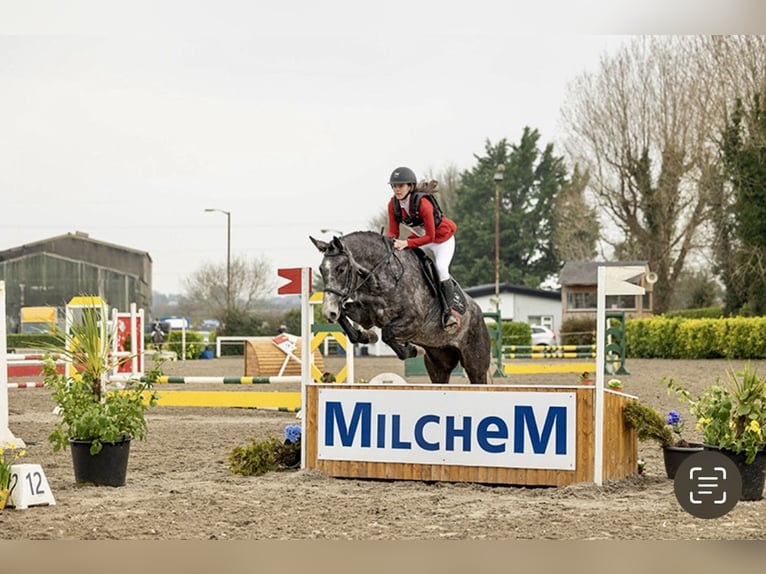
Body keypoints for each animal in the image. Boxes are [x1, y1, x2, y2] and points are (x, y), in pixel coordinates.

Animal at [312, 231, 492, 388]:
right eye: (321, 269)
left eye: (341, 269)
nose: (328, 312)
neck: (381, 279)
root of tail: (478, 312)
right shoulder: (366, 315)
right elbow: (346, 317)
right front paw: (365, 336)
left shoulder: (413, 322)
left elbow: (387, 334)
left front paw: (411, 349)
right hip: (438, 363)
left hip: (475, 364)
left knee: (478, 378)